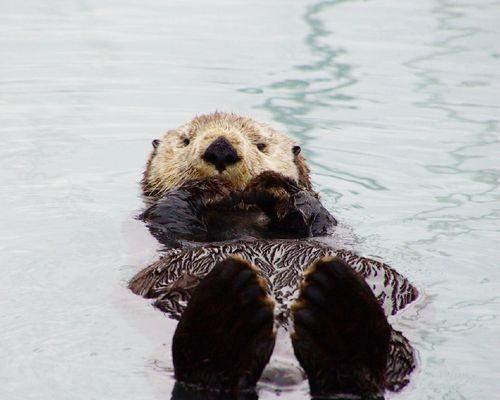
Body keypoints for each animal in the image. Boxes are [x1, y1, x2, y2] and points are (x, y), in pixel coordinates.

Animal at [129, 111, 418, 398]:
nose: (221, 149)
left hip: (396, 355)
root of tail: (281, 367)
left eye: (261, 145)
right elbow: (167, 214)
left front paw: (274, 186)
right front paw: (207, 187)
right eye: (186, 141)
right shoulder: (163, 225)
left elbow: (315, 214)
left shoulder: (325, 226)